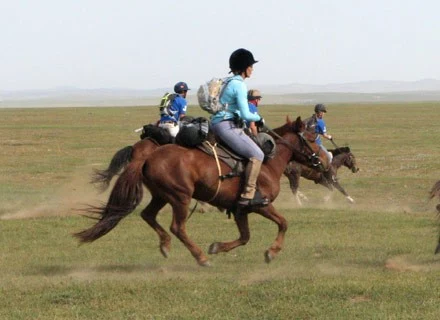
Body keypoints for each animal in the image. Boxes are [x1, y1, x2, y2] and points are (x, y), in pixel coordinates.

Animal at [75, 116, 328, 266]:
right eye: (312, 138)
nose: (325, 161)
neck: (267, 163)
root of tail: (147, 156)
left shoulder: (240, 210)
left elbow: (245, 236)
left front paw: (217, 246)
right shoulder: (261, 205)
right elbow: (283, 223)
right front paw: (272, 252)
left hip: (161, 195)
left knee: (148, 215)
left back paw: (166, 246)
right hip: (180, 197)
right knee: (178, 227)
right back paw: (200, 257)